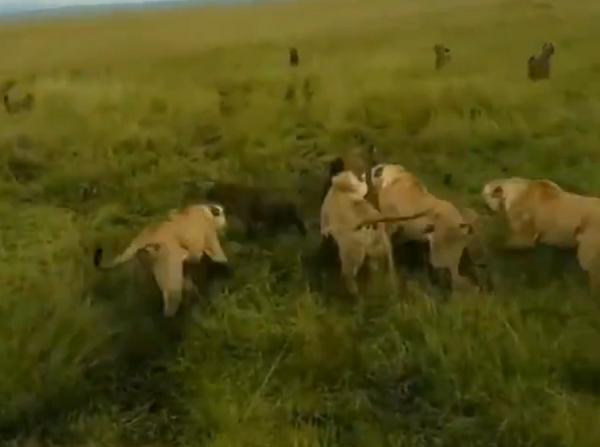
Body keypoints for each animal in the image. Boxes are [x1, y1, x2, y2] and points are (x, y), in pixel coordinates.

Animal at [95, 205, 229, 316]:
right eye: (221, 215)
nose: (225, 220)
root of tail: (149, 234)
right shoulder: (208, 232)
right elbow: (214, 253)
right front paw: (220, 260)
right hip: (168, 251)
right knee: (174, 284)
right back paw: (170, 313)